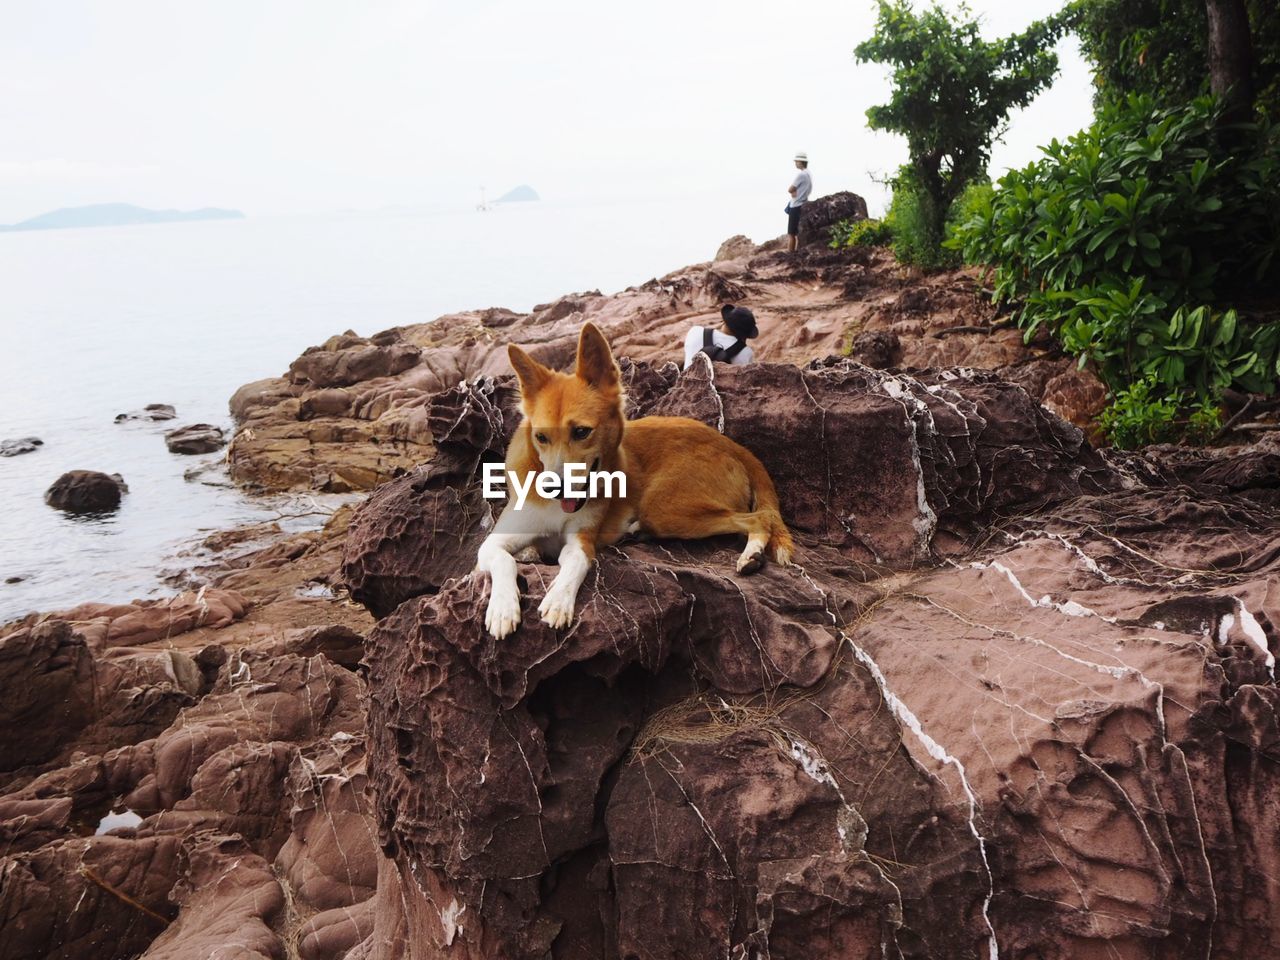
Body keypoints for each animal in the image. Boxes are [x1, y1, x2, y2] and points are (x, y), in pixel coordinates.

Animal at [476, 321, 788, 640]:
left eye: (581, 432)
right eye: (541, 437)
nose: (554, 489)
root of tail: (730, 443)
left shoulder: (582, 543)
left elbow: (574, 565)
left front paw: (558, 600)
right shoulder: (493, 543)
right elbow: (504, 558)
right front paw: (503, 608)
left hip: (664, 508)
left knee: (760, 517)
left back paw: (751, 554)